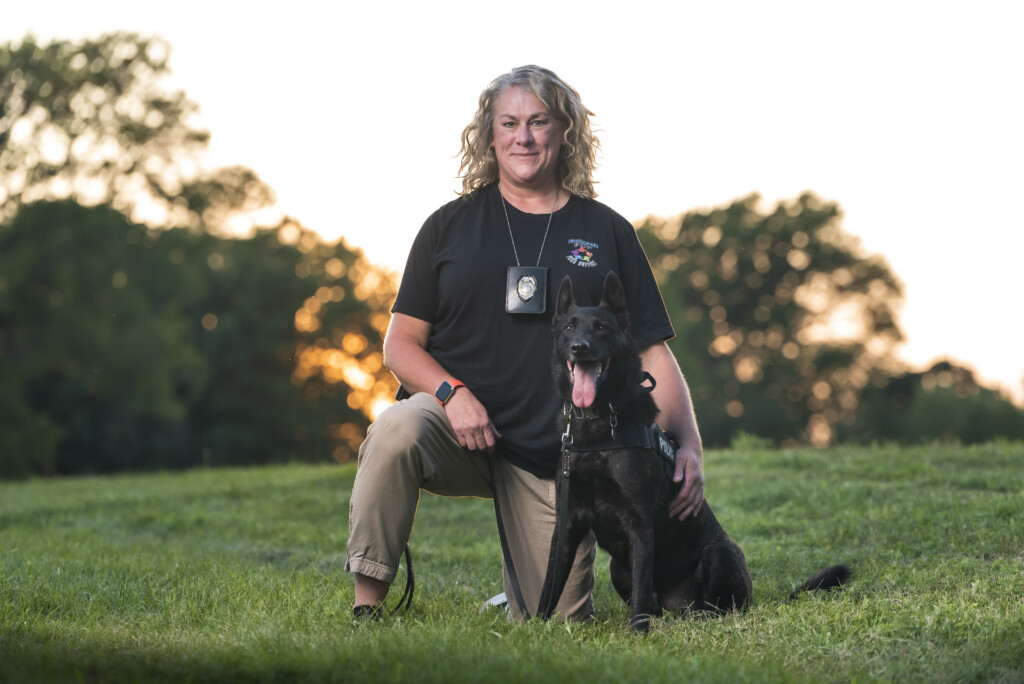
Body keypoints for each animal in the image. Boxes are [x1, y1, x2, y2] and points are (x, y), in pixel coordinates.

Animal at [536, 270, 847, 630]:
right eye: (568, 328)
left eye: (601, 327)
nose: (579, 348)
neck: (598, 426)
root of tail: (678, 607)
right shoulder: (567, 525)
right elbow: (549, 584)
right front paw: (533, 626)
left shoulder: (639, 525)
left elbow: (640, 594)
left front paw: (637, 633)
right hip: (618, 566)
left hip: (720, 553)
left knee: (717, 605)